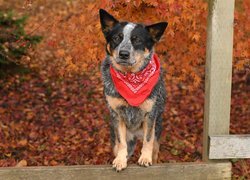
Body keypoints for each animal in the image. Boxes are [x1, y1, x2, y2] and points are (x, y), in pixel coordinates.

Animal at [98, 8, 167, 172]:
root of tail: (136, 135)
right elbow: (121, 142)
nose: (123, 53)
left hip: (157, 133)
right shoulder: (117, 115)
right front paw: (120, 161)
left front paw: (145, 158)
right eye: (116, 38)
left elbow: (147, 140)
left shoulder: (150, 115)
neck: (131, 77)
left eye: (137, 40)